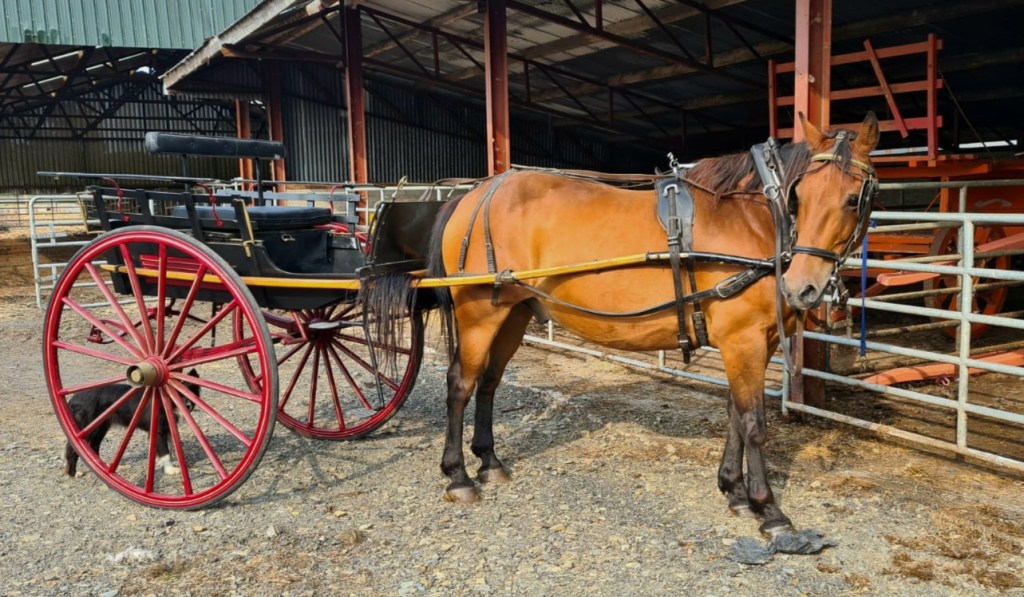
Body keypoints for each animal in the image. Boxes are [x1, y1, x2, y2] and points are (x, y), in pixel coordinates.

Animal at [422, 113, 879, 538]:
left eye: (853, 198)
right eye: (799, 194)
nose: (802, 287)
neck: (752, 219)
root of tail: (476, 194)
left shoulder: (757, 342)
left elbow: (734, 413)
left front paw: (734, 491)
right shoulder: (743, 339)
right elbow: (753, 423)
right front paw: (768, 509)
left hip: (512, 313)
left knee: (489, 382)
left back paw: (489, 461)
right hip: (479, 316)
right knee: (461, 384)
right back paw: (459, 476)